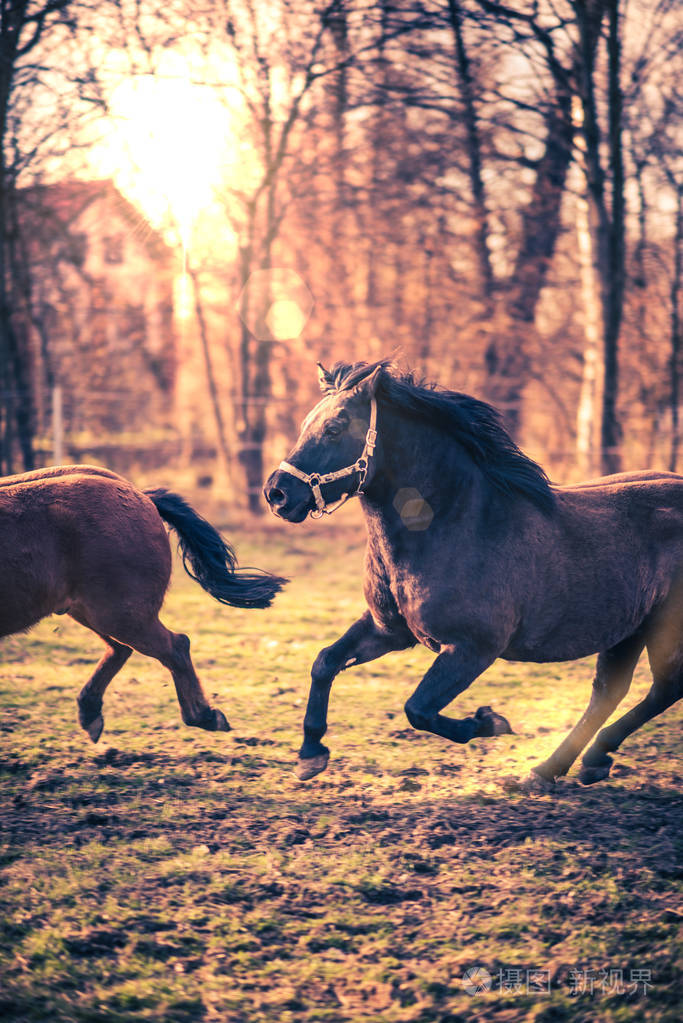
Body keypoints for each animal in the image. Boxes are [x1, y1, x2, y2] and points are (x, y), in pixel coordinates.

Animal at [0, 464, 286, 742]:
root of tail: (140, 494)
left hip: (119, 615)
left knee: (175, 646)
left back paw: (205, 716)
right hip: (92, 612)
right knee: (121, 650)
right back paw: (91, 714)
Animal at [264, 360, 683, 789]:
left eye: (334, 428)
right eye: (306, 424)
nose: (277, 494)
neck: (456, 524)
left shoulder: (474, 648)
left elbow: (418, 709)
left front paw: (489, 722)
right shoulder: (389, 629)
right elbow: (325, 662)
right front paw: (310, 754)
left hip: (663, 628)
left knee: (664, 688)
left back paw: (578, 761)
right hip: (629, 630)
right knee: (612, 692)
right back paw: (559, 768)